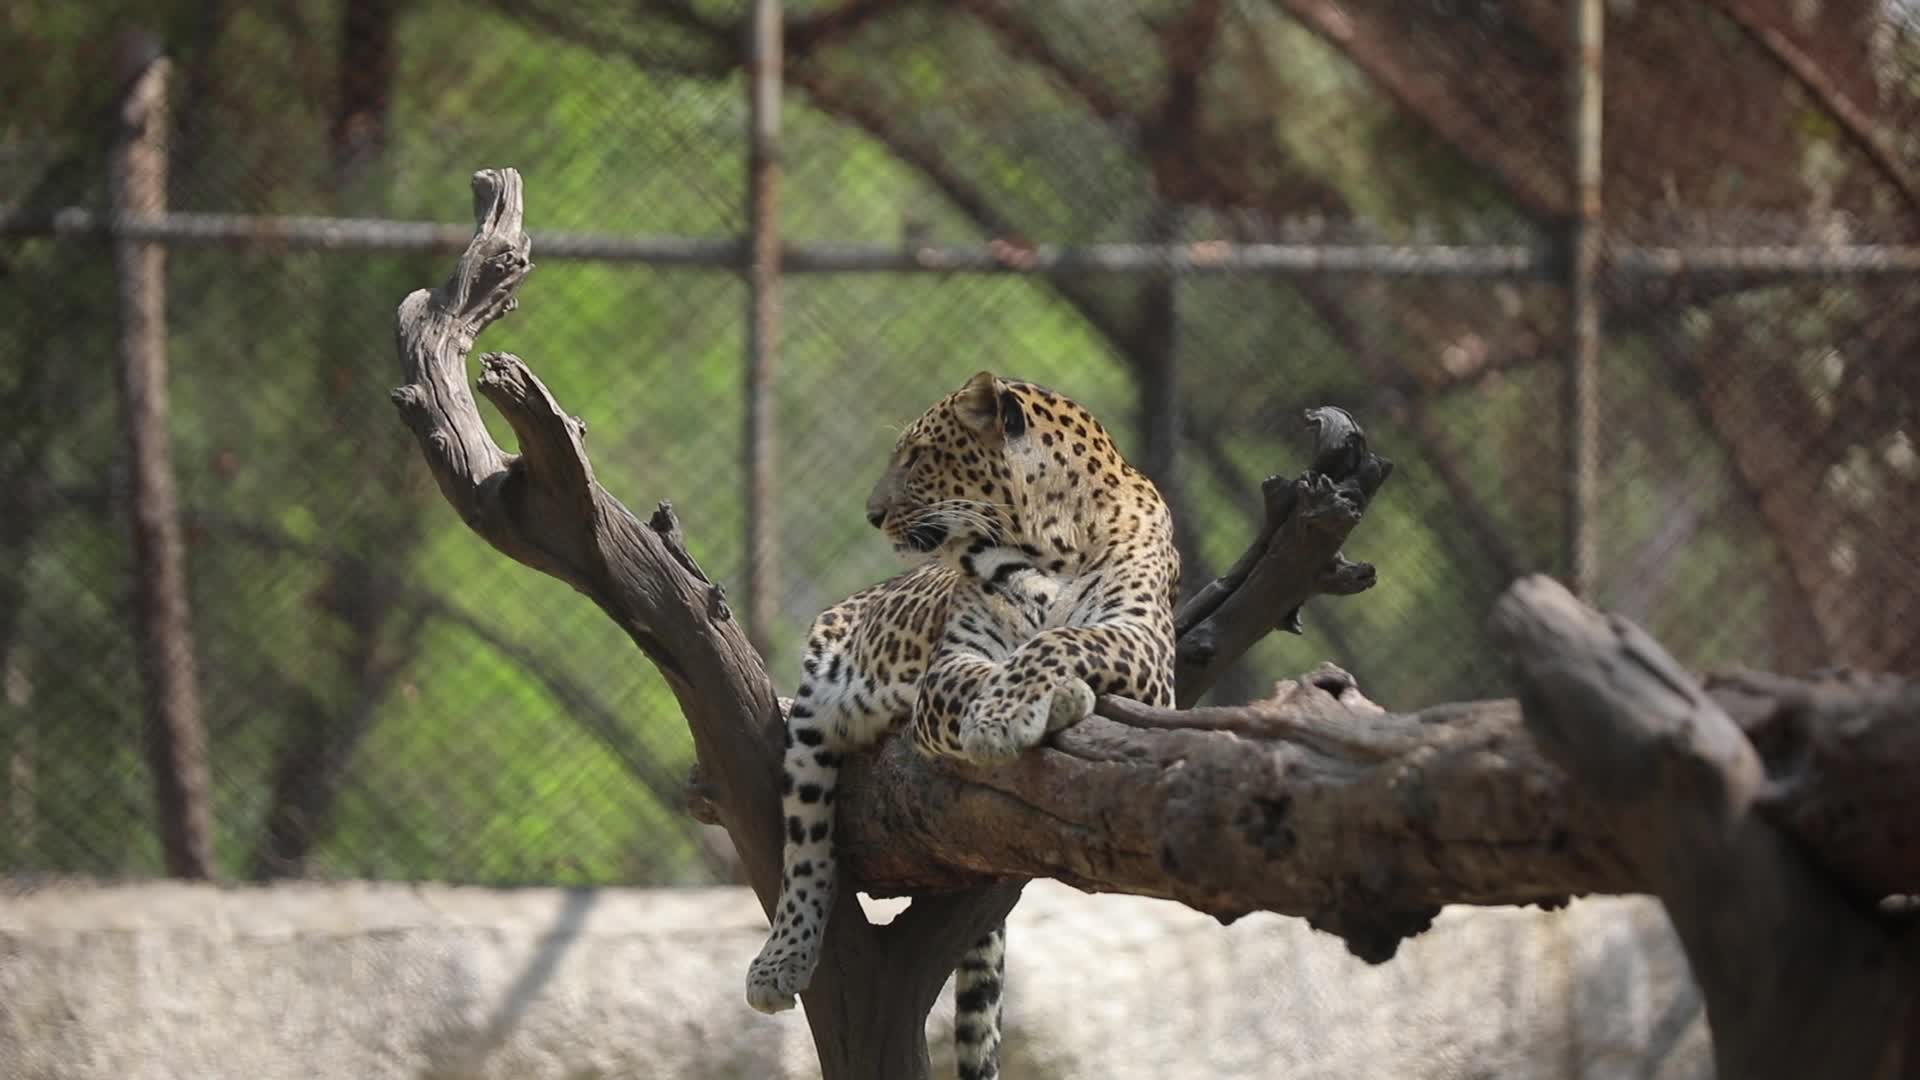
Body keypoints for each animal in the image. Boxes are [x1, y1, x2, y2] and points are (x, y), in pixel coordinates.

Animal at [744, 371, 1179, 1080]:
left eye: (918, 457)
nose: (872, 513)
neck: (1048, 546)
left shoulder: (1145, 648)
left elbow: (1064, 638)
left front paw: (1029, 702)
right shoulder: (951, 662)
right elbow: (974, 678)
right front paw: (1003, 714)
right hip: (811, 718)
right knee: (806, 853)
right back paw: (781, 961)